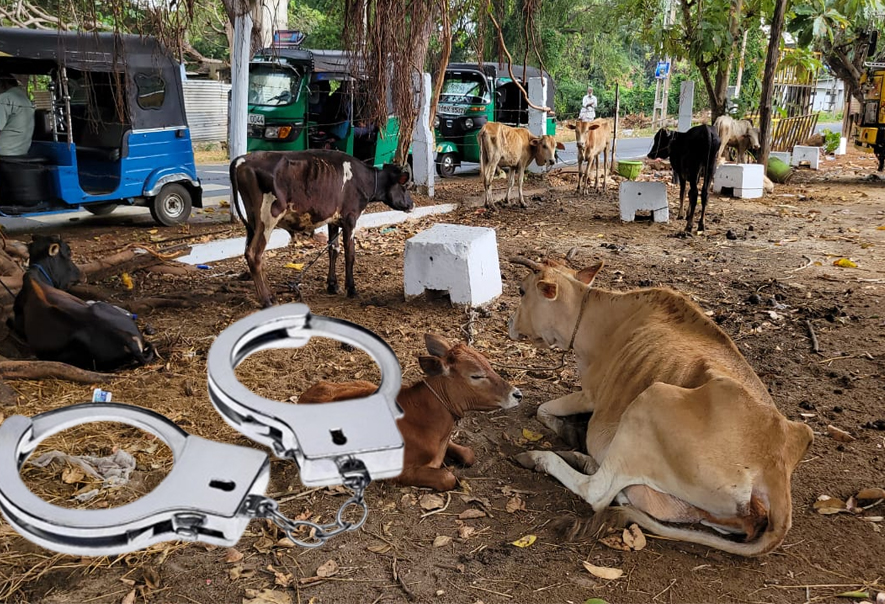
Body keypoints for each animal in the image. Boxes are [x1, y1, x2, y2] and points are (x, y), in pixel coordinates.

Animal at [230, 147, 412, 306]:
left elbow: (333, 249)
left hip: (253, 220)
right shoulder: (350, 218)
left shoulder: (333, 220)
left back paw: (271, 295)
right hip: (268, 217)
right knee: (254, 254)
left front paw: (332, 285)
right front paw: (351, 288)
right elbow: (350, 253)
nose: (412, 204)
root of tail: (242, 159)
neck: (363, 179)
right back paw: (266, 299)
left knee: (253, 253)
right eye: (405, 186)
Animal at [300, 336, 520, 490]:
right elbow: (447, 477)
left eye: (489, 364)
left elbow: (468, 453)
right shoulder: (398, 472)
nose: (517, 394)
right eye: (476, 375)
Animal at [504, 255, 816, 556]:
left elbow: (542, 409)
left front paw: (567, 433)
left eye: (521, 290)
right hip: (793, 440)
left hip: (651, 400)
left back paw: (540, 457)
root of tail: (776, 460)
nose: (509, 324)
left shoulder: (591, 393)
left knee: (599, 490)